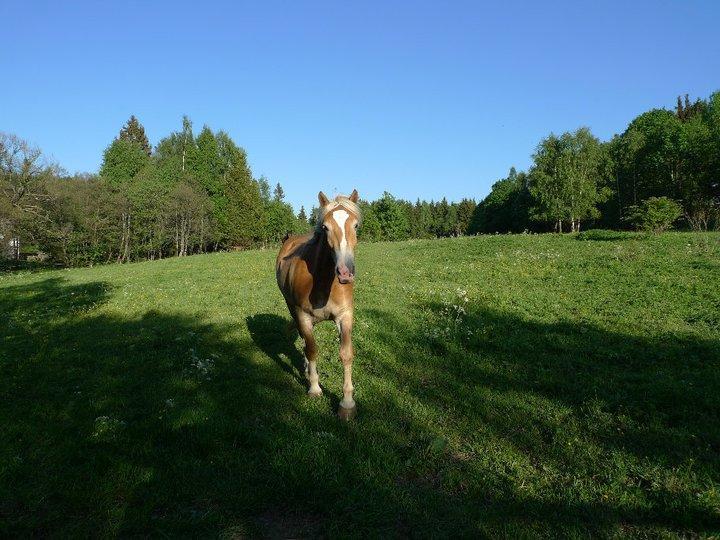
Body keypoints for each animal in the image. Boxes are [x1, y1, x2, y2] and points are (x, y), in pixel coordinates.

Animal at [278, 190, 362, 422]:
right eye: (325, 227)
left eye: (356, 225)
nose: (345, 272)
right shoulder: (303, 316)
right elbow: (313, 349)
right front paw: (314, 388)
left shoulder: (345, 316)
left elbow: (346, 354)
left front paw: (347, 403)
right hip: (292, 308)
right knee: (307, 342)